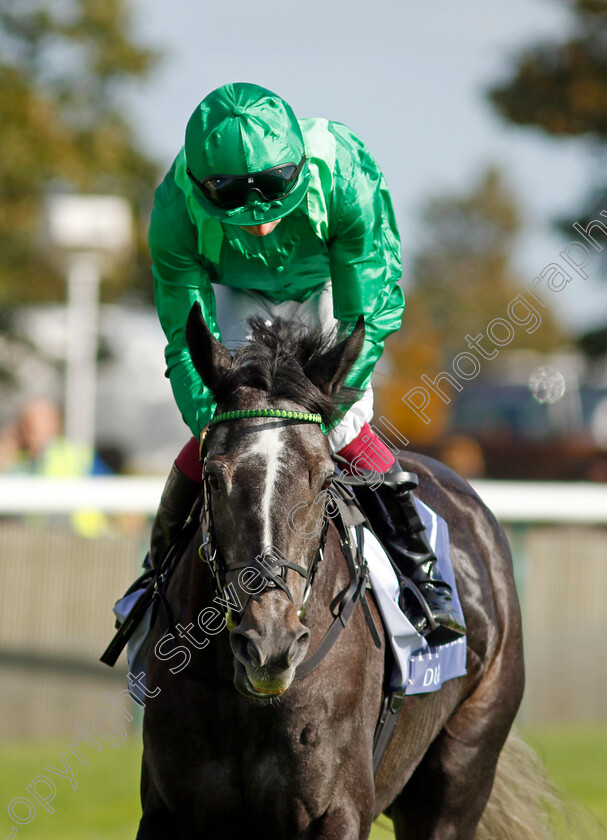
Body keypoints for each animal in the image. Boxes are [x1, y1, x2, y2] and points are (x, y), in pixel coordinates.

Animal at [137, 308, 528, 840]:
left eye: (325, 480)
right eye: (213, 479)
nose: (271, 645)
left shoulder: (337, 809)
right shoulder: (165, 810)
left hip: (461, 770)